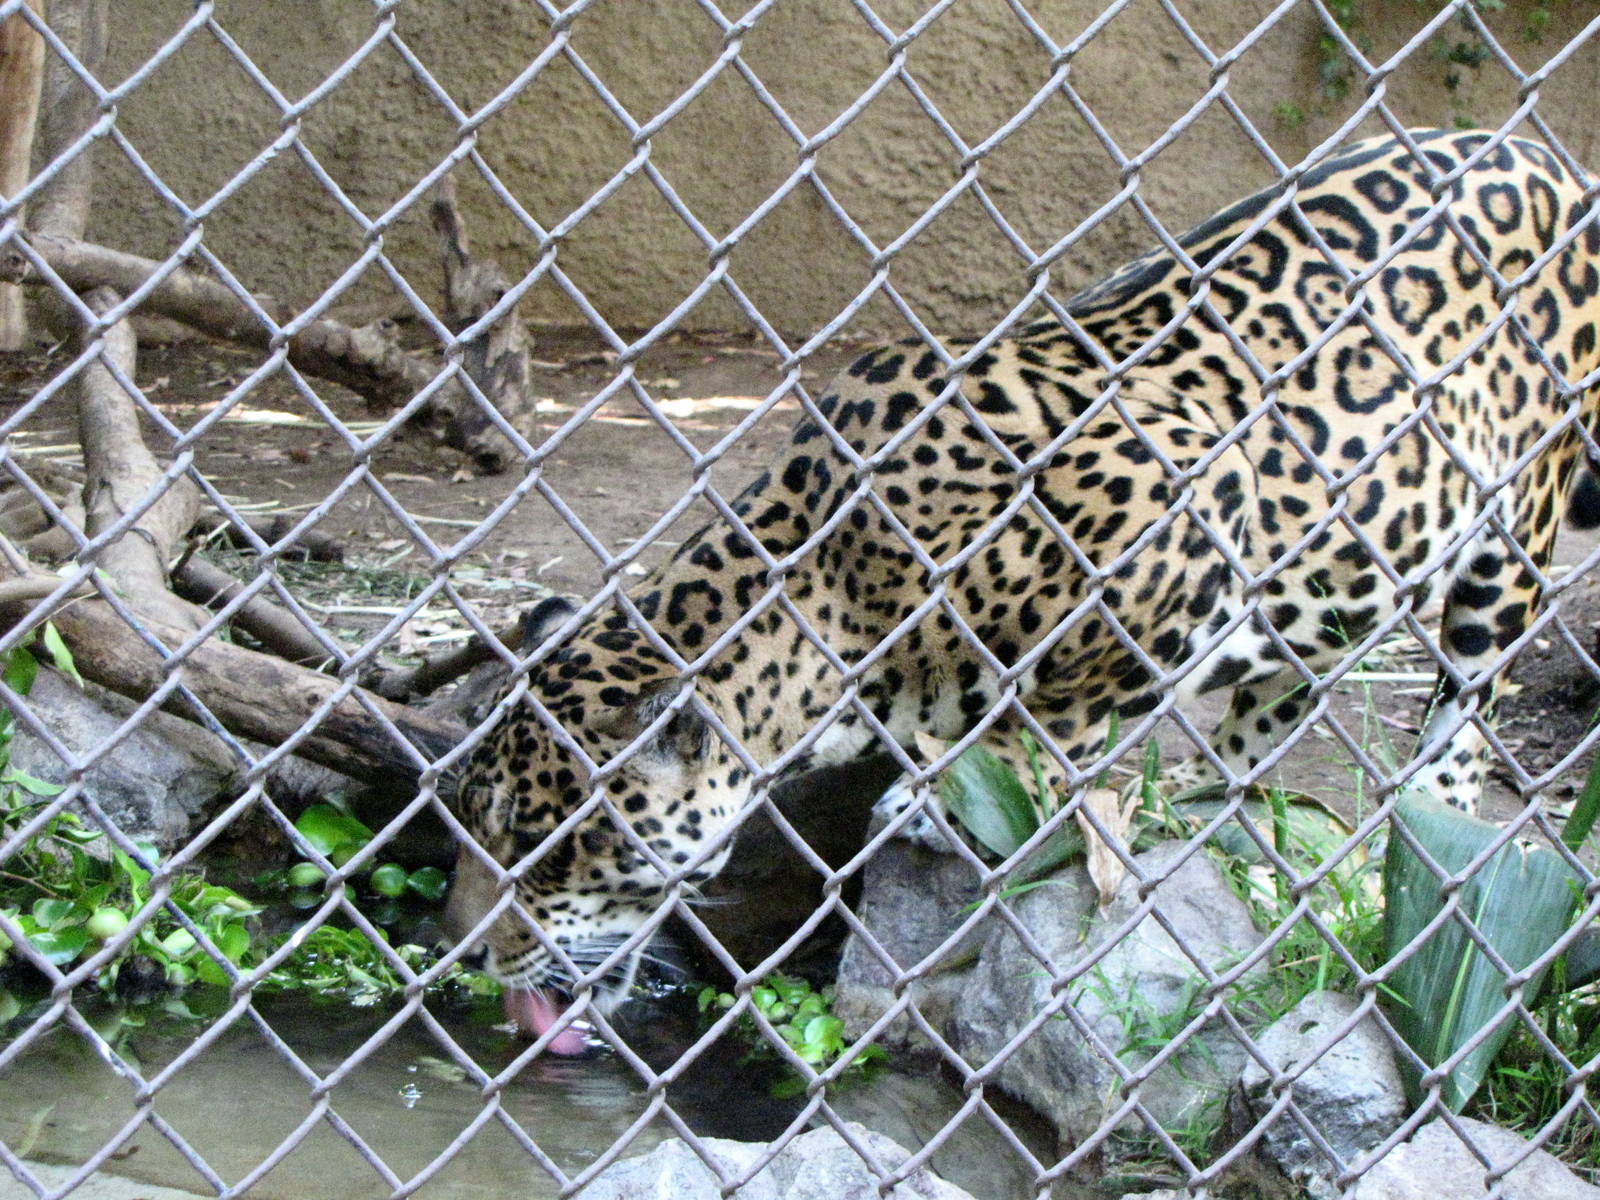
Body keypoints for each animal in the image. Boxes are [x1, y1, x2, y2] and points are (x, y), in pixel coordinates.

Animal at [444, 128, 1600, 1048]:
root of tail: (1547, 156)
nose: (464, 954)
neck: (840, 589)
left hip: (1512, 533)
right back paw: (1216, 808)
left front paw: (984, 787)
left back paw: (1428, 841)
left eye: (540, 847)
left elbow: (1053, 714)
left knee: (1462, 724)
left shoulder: (1187, 501)